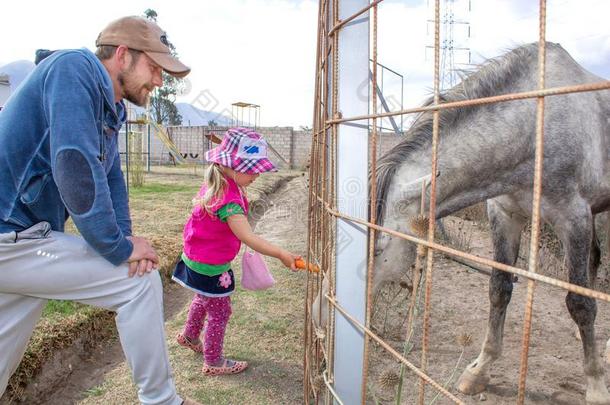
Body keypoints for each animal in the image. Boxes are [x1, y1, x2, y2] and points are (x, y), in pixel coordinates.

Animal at [370, 42, 608, 402]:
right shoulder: (504, 214)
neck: (533, 129)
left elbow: (579, 303)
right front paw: (479, 371)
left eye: (379, 248)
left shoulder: (573, 217)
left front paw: (595, 386)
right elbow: (499, 288)